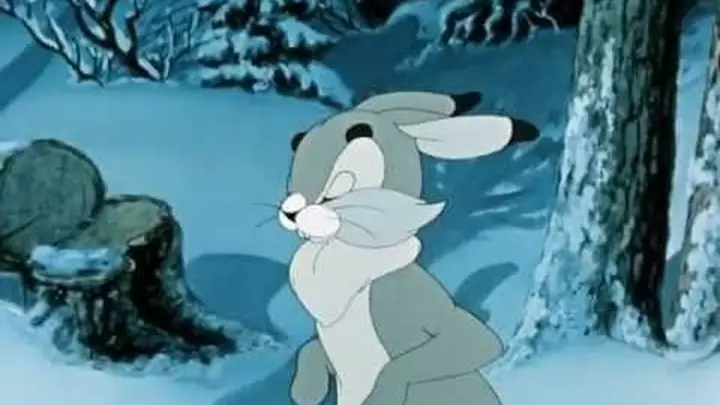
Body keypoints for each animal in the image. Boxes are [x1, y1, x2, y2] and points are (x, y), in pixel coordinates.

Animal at [279, 91, 540, 405]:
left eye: (335, 192)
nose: (290, 212)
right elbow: (309, 349)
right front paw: (305, 391)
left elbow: (478, 343)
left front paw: (382, 395)